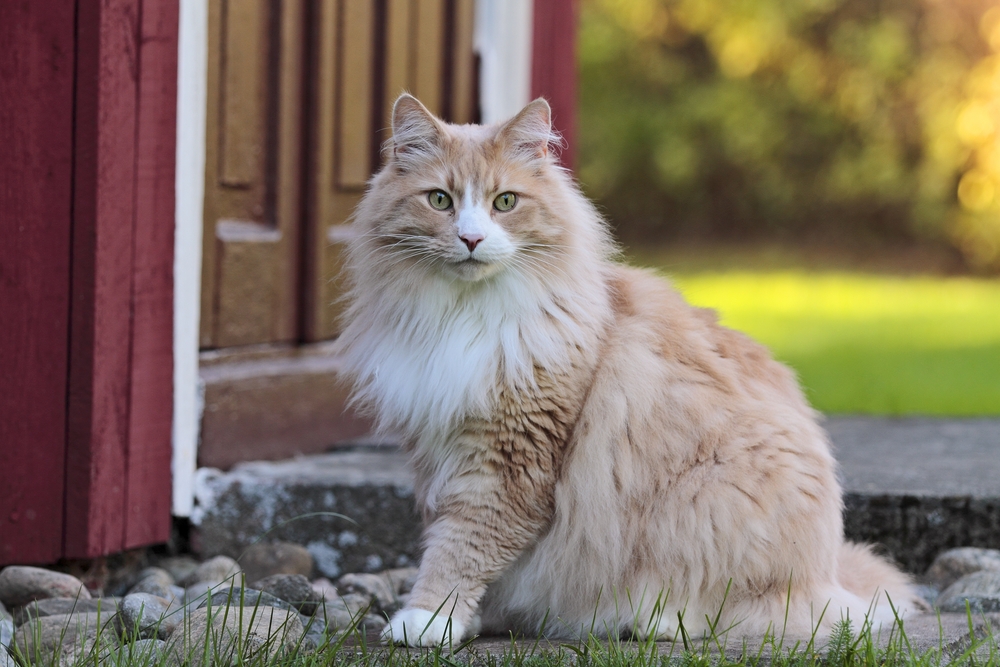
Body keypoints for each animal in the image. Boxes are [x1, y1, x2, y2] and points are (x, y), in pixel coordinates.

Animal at [336, 94, 920, 648]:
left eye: (505, 202)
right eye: (440, 200)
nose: (472, 240)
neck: (463, 316)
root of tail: (831, 573)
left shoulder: (509, 462)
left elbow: (463, 547)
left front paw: (428, 619)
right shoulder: (438, 450)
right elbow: (449, 539)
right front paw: (468, 620)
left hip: (711, 504)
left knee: (744, 612)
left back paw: (648, 620)